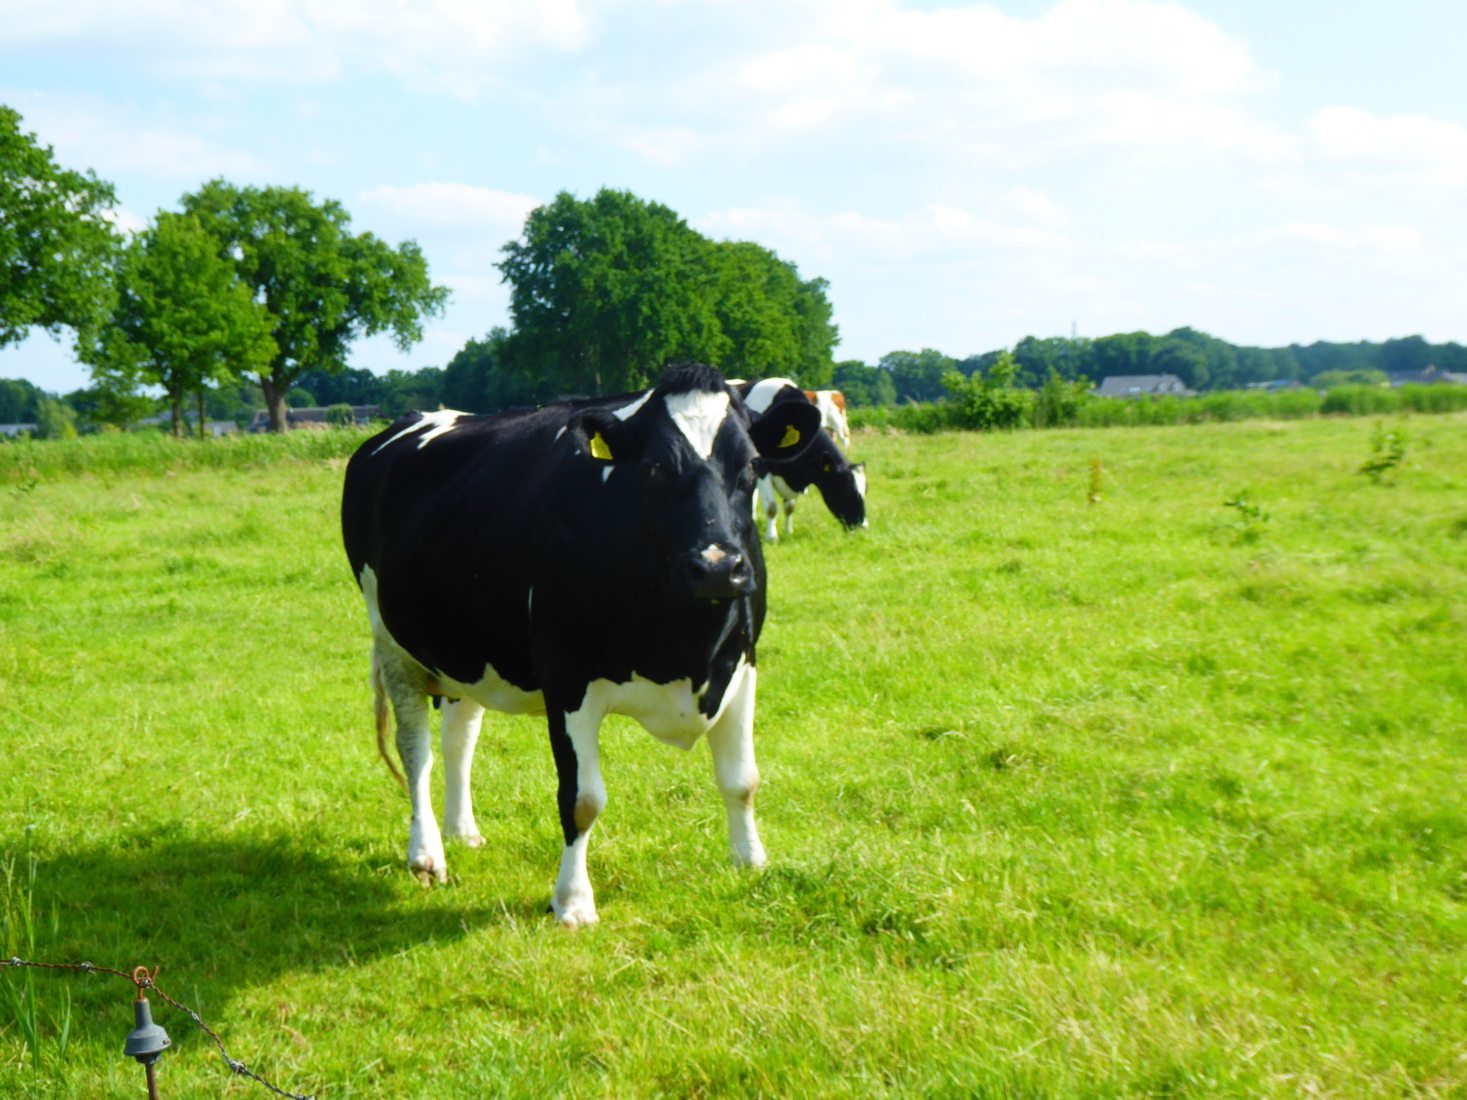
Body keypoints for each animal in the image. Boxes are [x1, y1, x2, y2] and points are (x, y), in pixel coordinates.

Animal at [340, 364, 822, 927]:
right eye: (653, 468)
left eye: (750, 468)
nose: (718, 567)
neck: (686, 647)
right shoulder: (567, 679)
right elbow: (582, 800)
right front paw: (572, 902)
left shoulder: (741, 666)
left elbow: (742, 779)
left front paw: (750, 861)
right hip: (392, 641)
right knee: (415, 748)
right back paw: (427, 854)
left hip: (465, 645)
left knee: (459, 736)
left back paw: (463, 831)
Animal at [737, 378, 867, 542]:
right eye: (847, 491)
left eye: (866, 491)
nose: (863, 528)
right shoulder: (762, 467)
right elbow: (772, 507)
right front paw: (772, 538)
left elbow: (789, 507)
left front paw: (788, 532)